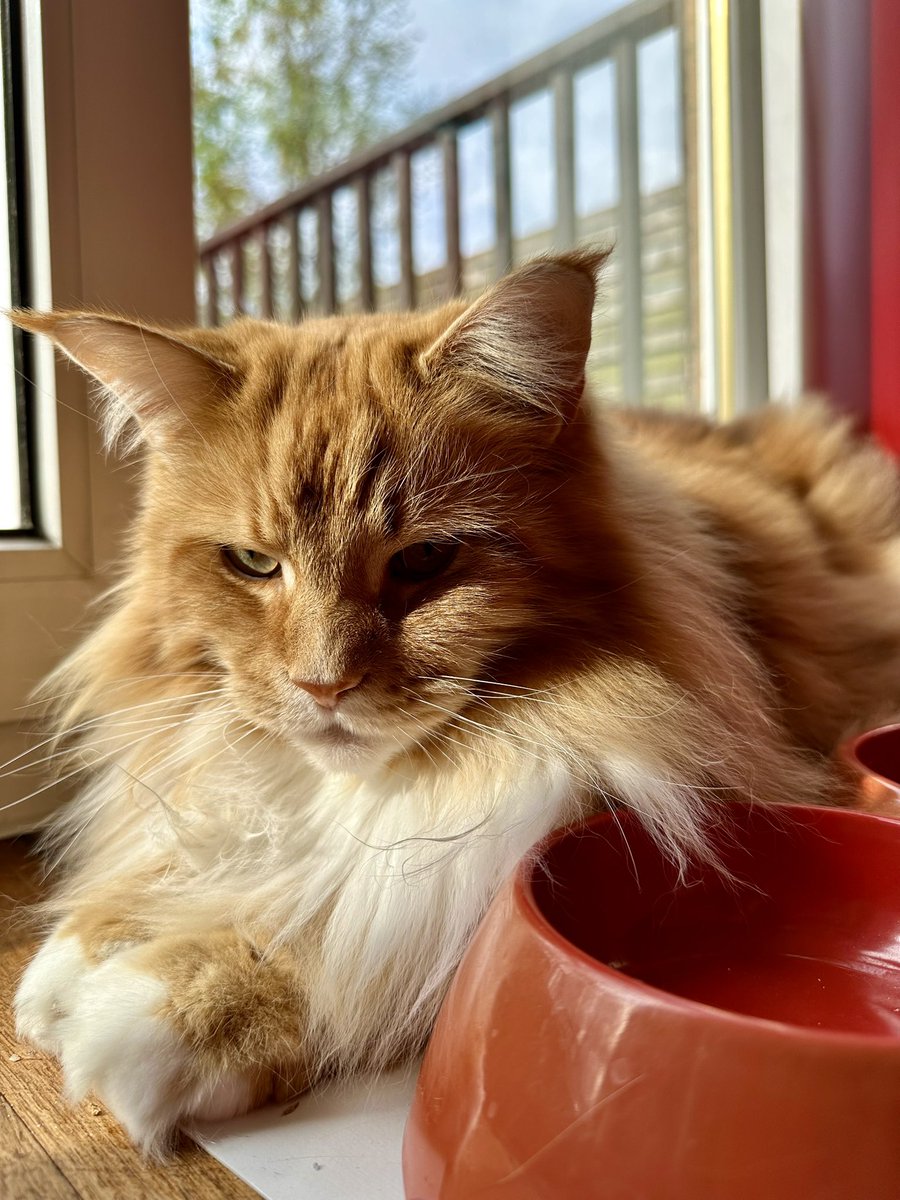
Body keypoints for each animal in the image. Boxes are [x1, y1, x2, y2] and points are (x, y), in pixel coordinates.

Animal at [7, 250, 900, 1152]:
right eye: (254, 564)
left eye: (425, 559)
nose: (323, 685)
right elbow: (206, 848)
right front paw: (87, 946)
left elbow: (357, 935)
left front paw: (171, 1005)